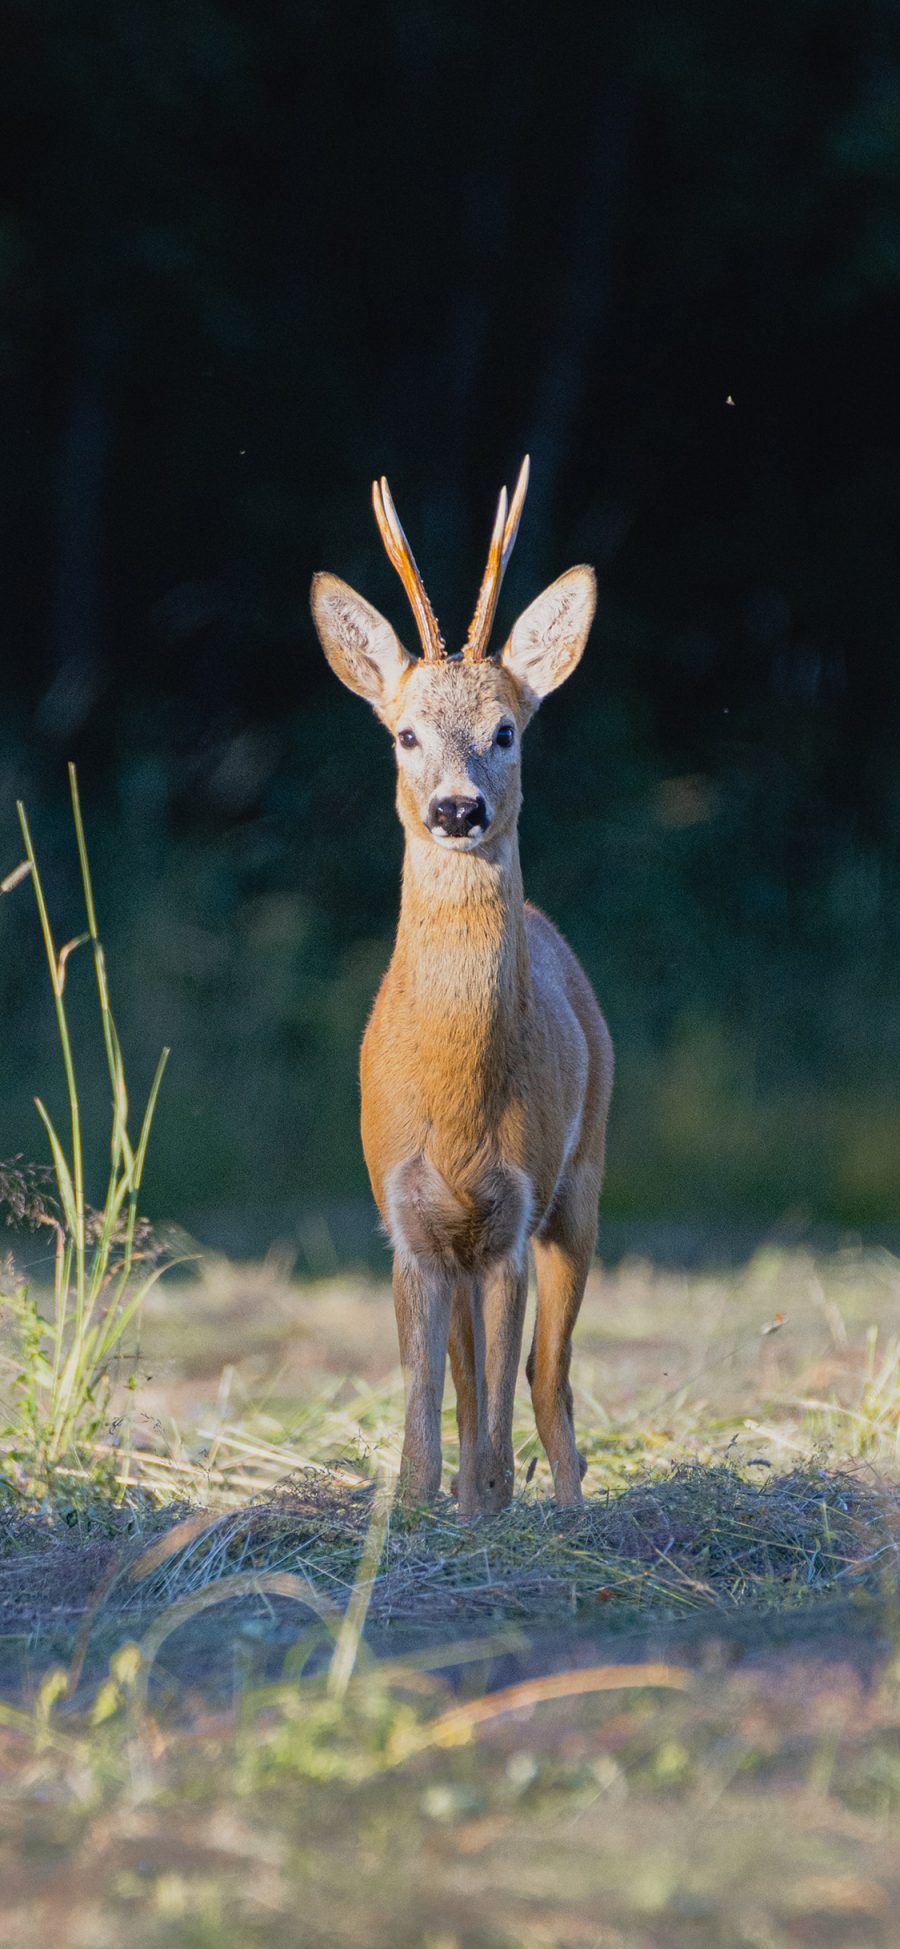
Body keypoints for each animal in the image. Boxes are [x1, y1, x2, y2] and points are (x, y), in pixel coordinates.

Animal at [309, 459, 611, 1520]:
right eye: (404, 733)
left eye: (506, 729)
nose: (456, 809)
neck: (453, 1097)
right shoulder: (405, 1218)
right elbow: (425, 1413)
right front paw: (415, 1510)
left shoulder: (515, 1210)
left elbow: (499, 1409)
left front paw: (487, 1515)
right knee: (483, 1372)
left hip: (583, 1181)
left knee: (548, 1377)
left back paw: (566, 1511)